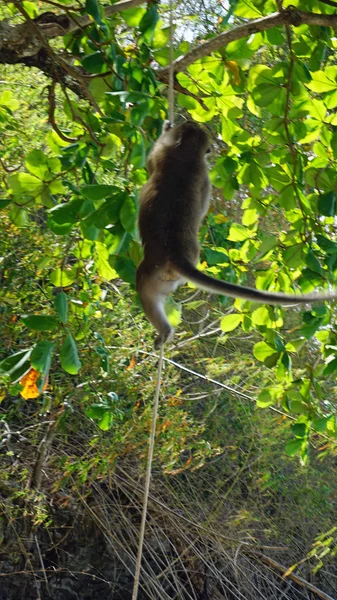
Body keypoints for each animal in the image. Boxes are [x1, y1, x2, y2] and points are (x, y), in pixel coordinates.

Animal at [136, 121, 336, 346]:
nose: (187, 123)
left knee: (143, 288)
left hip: (153, 273)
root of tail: (176, 256)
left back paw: (163, 332)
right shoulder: (205, 177)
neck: (188, 155)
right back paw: (167, 332)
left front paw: (165, 127)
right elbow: (203, 207)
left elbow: (150, 164)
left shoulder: (163, 152)